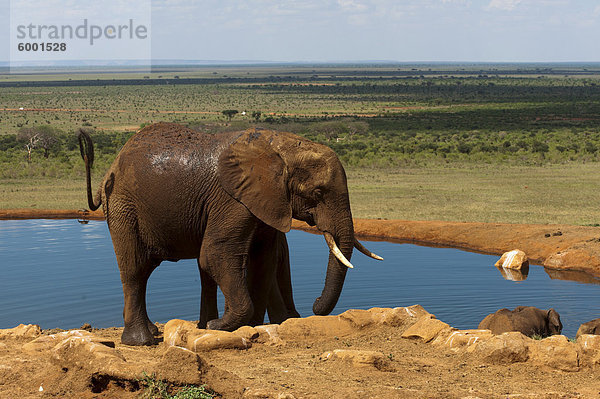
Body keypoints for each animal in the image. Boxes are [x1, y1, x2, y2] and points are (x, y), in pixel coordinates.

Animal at [78, 123, 380, 346]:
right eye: (318, 192)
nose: (316, 305)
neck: (279, 147)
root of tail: (110, 169)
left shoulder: (266, 201)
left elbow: (263, 259)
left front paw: (250, 326)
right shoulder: (233, 199)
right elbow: (216, 254)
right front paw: (221, 326)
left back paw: (172, 329)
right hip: (123, 206)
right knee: (136, 270)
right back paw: (142, 341)